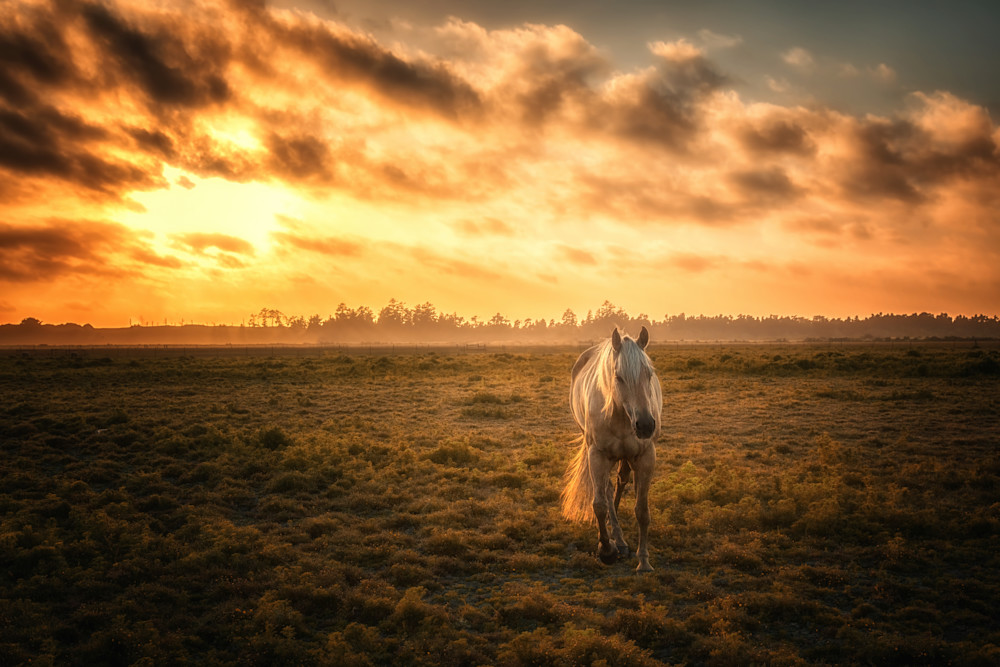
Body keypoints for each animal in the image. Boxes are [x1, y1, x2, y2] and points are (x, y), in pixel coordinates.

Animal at [561, 326, 663, 572]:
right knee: (607, 491)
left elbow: (642, 511)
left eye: (649, 374)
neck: (621, 416)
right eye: (618, 377)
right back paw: (616, 540)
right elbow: (599, 505)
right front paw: (606, 550)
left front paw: (644, 561)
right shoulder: (597, 455)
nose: (646, 425)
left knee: (620, 482)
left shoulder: (645, 457)